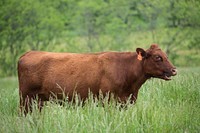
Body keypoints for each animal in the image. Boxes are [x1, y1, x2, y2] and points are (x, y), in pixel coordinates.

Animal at [17, 44, 177, 113]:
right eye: (157, 57)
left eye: (166, 55)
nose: (174, 70)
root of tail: (28, 53)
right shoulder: (109, 100)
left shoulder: (127, 101)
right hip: (26, 98)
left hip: (38, 101)